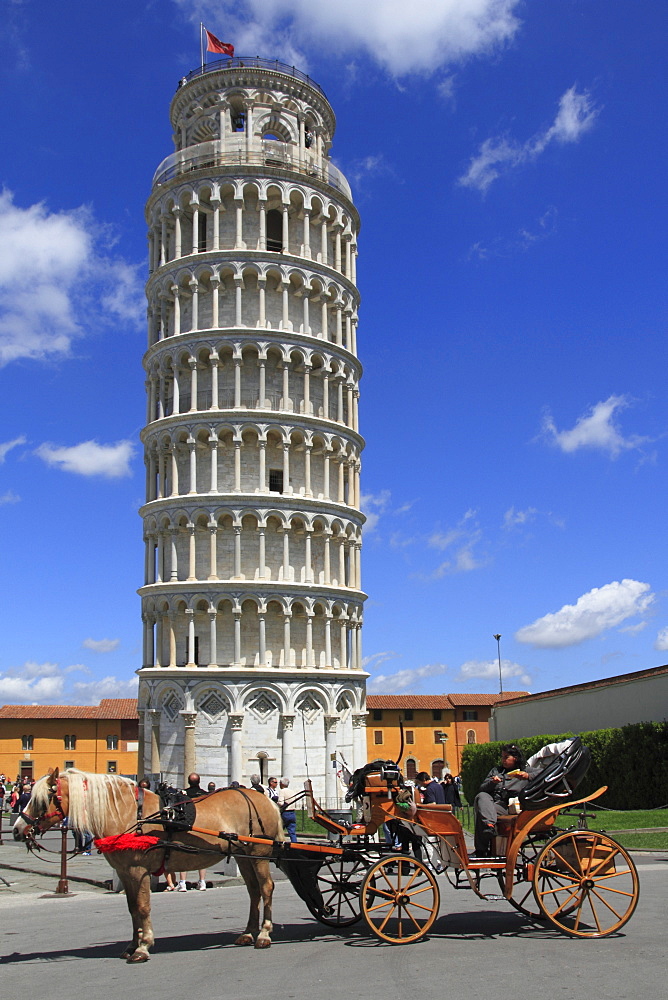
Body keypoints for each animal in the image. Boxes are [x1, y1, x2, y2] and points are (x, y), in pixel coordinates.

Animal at [15, 764, 286, 960]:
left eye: (40, 801)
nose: (18, 830)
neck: (126, 813)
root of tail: (266, 800)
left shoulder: (139, 870)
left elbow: (143, 907)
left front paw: (143, 947)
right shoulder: (125, 872)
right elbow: (132, 908)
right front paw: (131, 945)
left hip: (260, 852)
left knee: (266, 888)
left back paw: (264, 934)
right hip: (244, 856)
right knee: (253, 890)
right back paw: (248, 933)